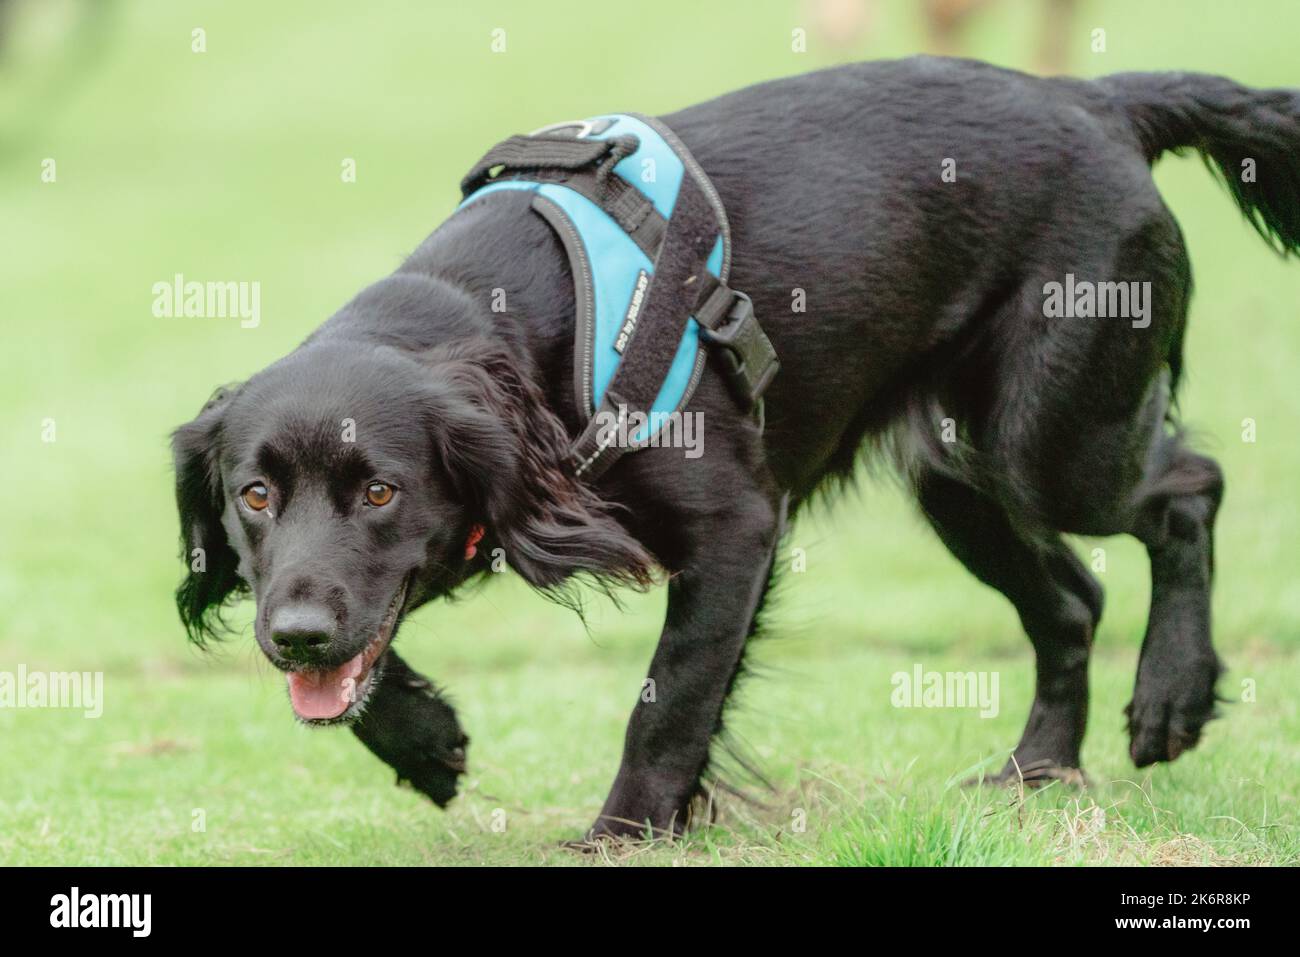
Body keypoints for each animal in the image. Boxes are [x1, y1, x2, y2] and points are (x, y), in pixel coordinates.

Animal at [172, 55, 1300, 842]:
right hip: (955, 476)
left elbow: (669, 708)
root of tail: (1098, 98)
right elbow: (363, 653)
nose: (296, 637)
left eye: (382, 493)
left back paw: (1172, 693)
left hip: (1050, 443)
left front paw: (621, 836)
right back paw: (1038, 774)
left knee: (1189, 490)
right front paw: (424, 739)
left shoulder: (736, 531)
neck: (506, 316)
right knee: (1072, 600)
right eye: (255, 496)